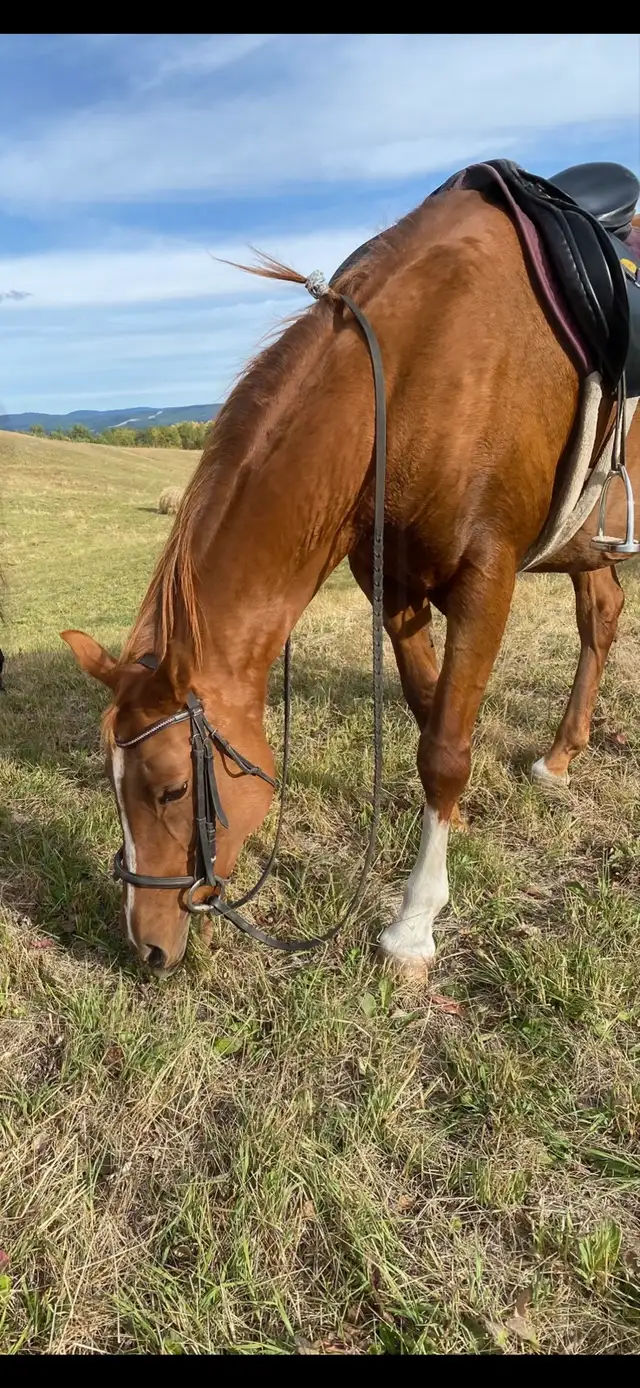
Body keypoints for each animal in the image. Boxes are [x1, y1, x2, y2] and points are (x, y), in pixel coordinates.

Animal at [60, 169, 640, 976]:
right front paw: (452, 833)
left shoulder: (487, 579)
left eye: (173, 789)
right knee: (601, 614)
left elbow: (446, 751)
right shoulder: (394, 589)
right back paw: (560, 756)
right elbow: (431, 715)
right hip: (586, 543)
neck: (426, 364)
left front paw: (414, 923)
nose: (146, 945)